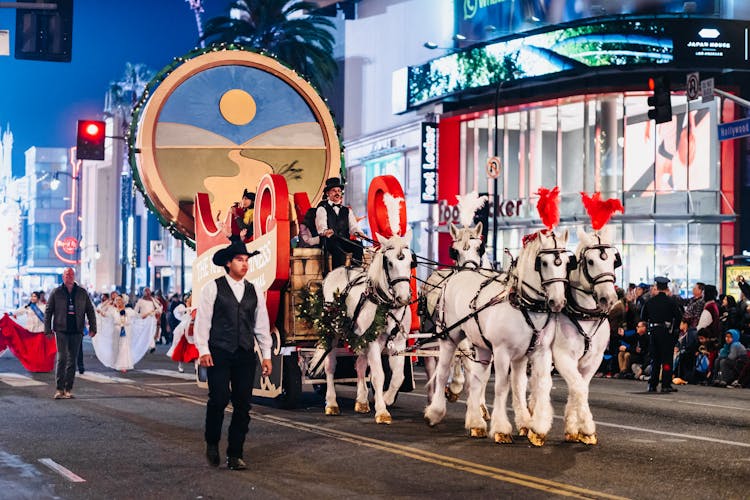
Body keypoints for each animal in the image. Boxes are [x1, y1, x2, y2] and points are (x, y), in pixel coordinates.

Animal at [324, 230, 418, 422]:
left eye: (410, 261)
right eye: (389, 262)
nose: (403, 298)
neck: (386, 303)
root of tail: (338, 270)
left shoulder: (398, 342)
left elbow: (398, 376)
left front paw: (387, 398)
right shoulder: (373, 341)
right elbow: (378, 375)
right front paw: (382, 411)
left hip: (360, 337)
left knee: (360, 365)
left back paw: (361, 401)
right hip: (332, 331)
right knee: (330, 365)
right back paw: (331, 403)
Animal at [424, 230, 576, 446]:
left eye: (566, 263)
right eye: (543, 263)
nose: (558, 302)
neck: (523, 304)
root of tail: (458, 274)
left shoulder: (536, 352)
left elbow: (532, 384)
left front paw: (534, 427)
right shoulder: (502, 352)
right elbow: (502, 387)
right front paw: (501, 429)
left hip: (481, 346)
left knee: (477, 380)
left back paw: (476, 422)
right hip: (449, 337)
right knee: (444, 371)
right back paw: (435, 412)